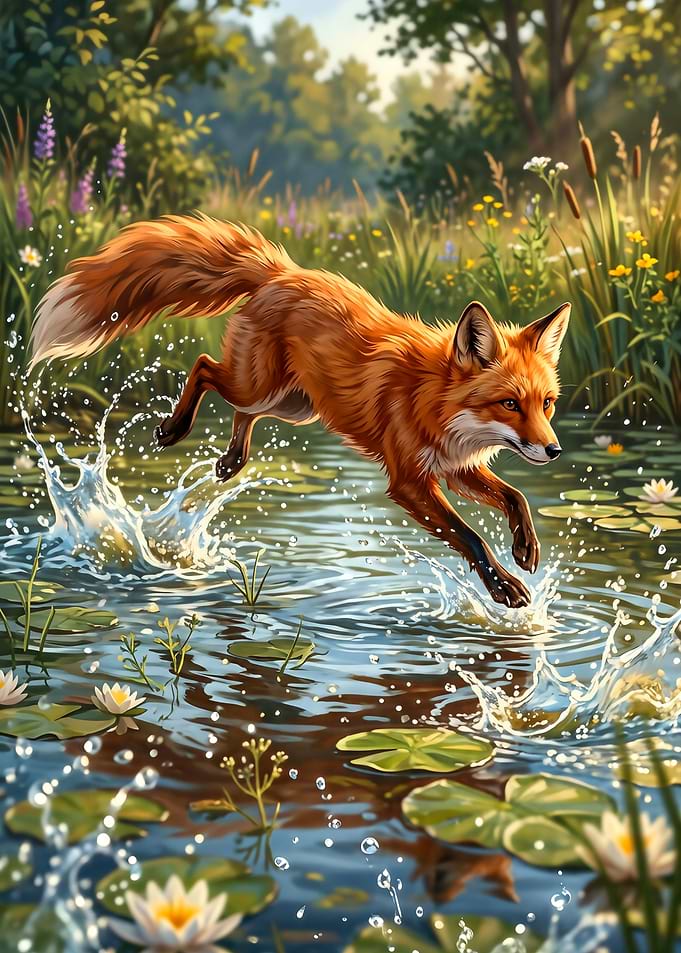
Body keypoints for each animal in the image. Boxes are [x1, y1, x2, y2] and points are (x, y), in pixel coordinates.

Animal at [30, 214, 570, 608]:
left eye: (546, 404)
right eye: (509, 403)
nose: (554, 451)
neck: (432, 396)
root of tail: (284, 271)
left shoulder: (455, 467)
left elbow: (515, 496)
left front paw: (526, 547)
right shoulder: (410, 482)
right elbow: (471, 536)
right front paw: (505, 587)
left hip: (294, 406)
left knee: (239, 409)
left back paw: (231, 461)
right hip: (260, 386)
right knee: (204, 367)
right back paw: (176, 428)